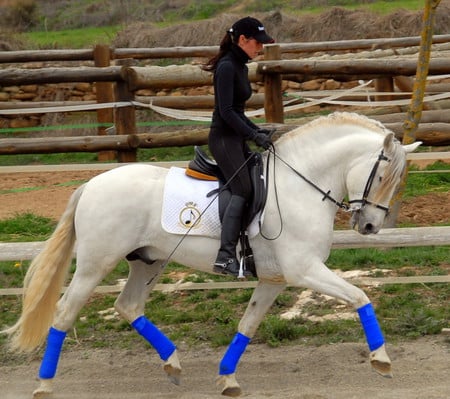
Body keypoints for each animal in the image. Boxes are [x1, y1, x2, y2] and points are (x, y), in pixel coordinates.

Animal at [3, 111, 420, 396]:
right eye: (383, 176)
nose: (370, 226)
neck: (301, 184)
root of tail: (91, 184)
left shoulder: (275, 279)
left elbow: (247, 325)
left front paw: (228, 377)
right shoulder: (305, 270)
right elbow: (360, 296)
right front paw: (381, 360)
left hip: (148, 261)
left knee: (129, 305)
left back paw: (173, 364)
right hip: (95, 264)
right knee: (64, 312)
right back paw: (44, 384)